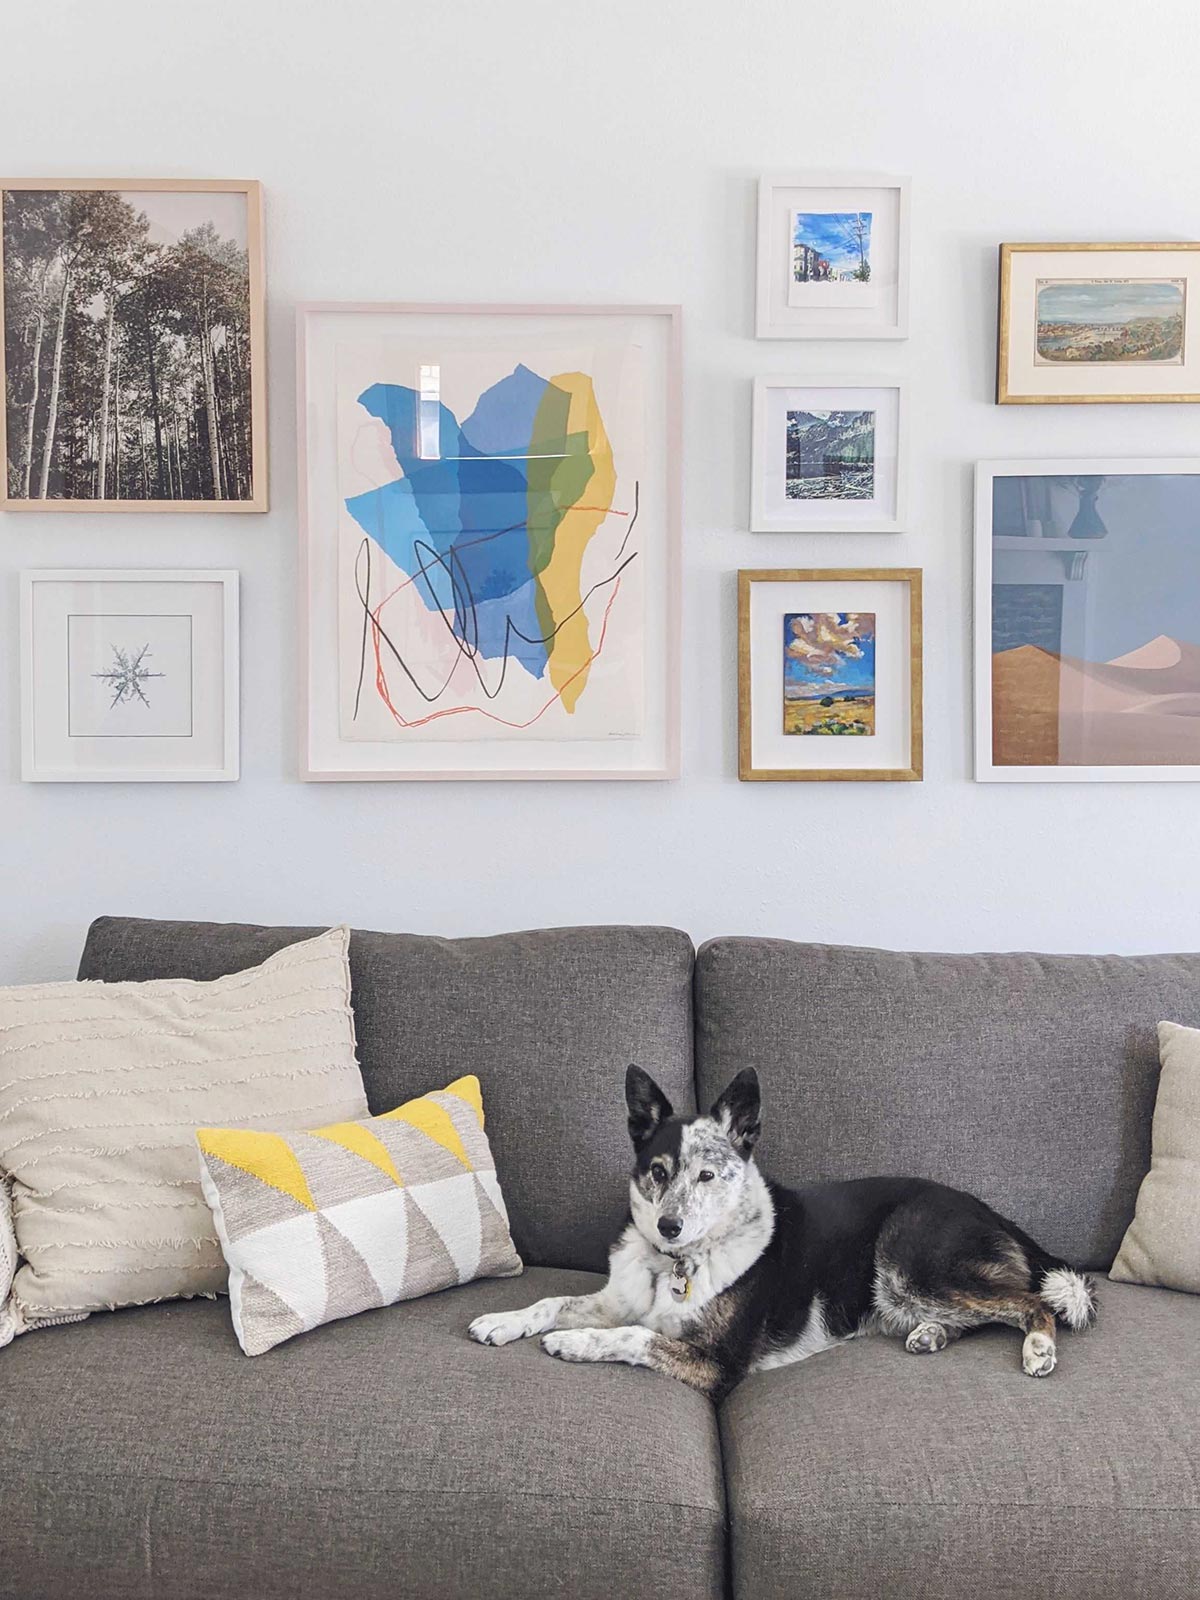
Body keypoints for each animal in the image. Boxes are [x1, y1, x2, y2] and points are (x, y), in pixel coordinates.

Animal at [473, 1068, 1100, 1395]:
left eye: (707, 1174)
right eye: (658, 1171)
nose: (670, 1226)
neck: (676, 1264)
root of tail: (991, 1211)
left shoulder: (717, 1364)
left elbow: (633, 1337)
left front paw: (574, 1343)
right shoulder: (615, 1299)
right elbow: (553, 1301)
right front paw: (503, 1321)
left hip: (908, 1260)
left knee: (1029, 1302)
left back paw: (1039, 1347)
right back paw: (931, 1335)